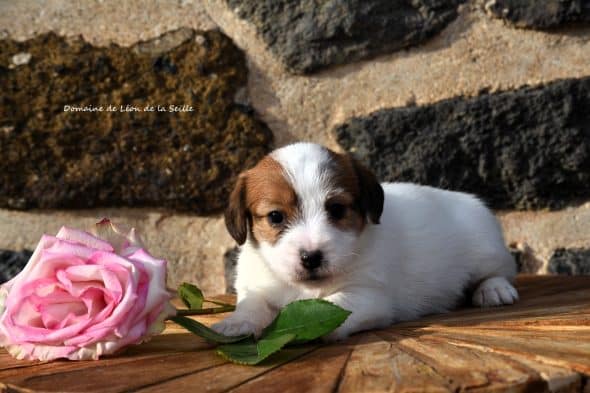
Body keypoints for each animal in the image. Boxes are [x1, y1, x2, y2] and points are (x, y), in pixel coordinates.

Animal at [213, 142, 520, 340]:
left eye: (337, 209)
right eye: (275, 216)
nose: (311, 257)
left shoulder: (368, 295)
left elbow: (334, 305)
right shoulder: (256, 285)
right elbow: (252, 303)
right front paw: (237, 322)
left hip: (486, 250)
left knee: (500, 271)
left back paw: (493, 290)